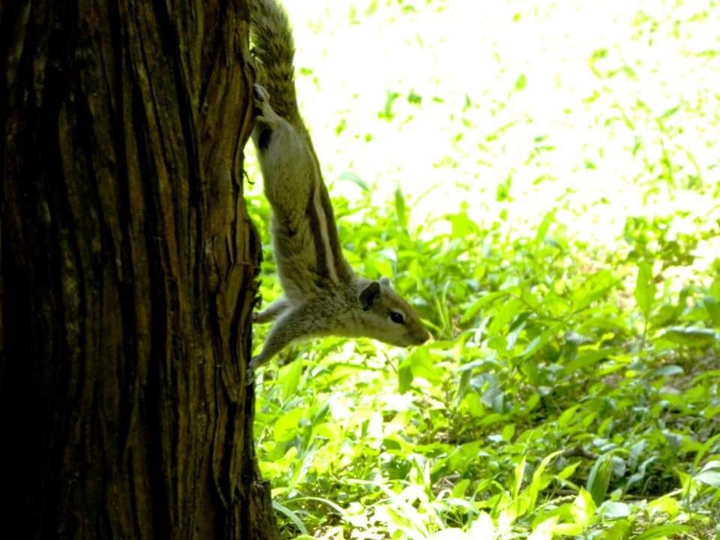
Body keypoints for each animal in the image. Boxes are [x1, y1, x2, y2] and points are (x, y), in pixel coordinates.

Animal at [248, 0, 430, 372]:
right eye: (397, 316)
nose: (425, 337)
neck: (345, 300)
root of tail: (302, 129)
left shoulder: (296, 303)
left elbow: (277, 310)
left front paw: (256, 316)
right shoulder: (310, 315)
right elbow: (279, 336)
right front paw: (255, 363)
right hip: (286, 153)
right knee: (278, 123)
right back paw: (268, 107)